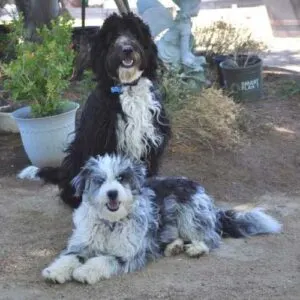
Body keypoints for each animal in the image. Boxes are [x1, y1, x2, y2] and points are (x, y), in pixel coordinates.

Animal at [42, 155, 282, 284]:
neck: (111, 223)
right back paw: (173, 247)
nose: (112, 193)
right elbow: (69, 258)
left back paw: (196, 248)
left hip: (191, 217)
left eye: (121, 178)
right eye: (100, 181)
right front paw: (55, 272)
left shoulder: (128, 254)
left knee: (211, 238)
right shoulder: (81, 245)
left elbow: (103, 260)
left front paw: (84, 272)